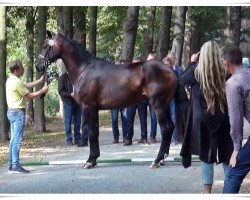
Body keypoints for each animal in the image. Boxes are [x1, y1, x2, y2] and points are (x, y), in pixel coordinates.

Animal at [35, 30, 188, 169]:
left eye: (45, 45)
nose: (38, 66)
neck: (84, 69)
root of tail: (172, 71)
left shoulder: (88, 107)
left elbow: (91, 133)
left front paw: (90, 161)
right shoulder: (94, 109)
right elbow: (95, 132)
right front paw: (94, 159)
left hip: (158, 104)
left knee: (166, 128)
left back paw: (156, 160)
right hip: (165, 104)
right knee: (170, 126)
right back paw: (162, 159)